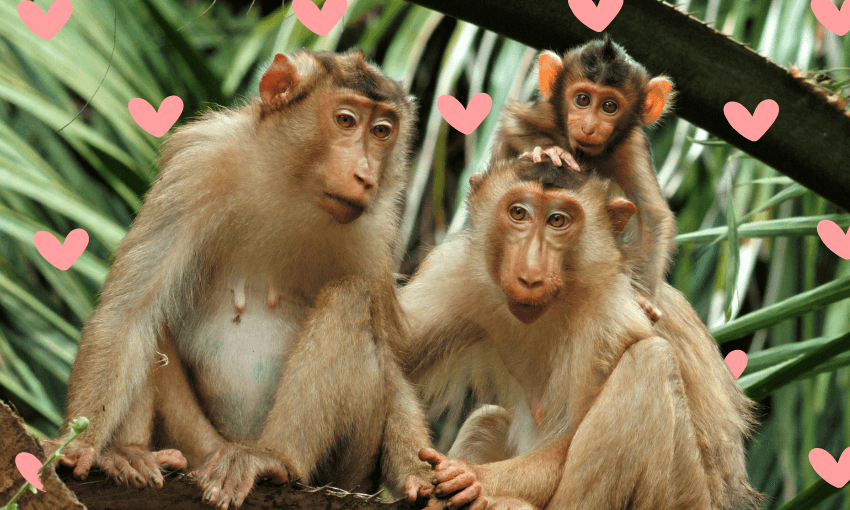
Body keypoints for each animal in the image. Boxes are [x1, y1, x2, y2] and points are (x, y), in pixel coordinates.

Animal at [45, 50, 435, 509]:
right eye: (345, 120)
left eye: (381, 131)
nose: (364, 174)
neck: (290, 183)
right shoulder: (197, 165)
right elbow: (129, 313)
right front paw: (80, 446)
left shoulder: (375, 231)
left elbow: (392, 365)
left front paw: (420, 475)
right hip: (199, 444)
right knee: (151, 324)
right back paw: (131, 455)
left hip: (344, 473)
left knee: (351, 296)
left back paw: (274, 458)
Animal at [397, 157, 759, 510]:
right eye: (518, 213)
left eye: (558, 220)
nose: (530, 274)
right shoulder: (452, 273)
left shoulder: (608, 313)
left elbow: (564, 445)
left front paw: (470, 477)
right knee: (486, 422)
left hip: (685, 495)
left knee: (650, 362)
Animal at [492, 36, 676, 322]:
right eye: (582, 99)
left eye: (609, 106)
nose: (589, 127)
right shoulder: (546, 112)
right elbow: (513, 123)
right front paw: (552, 151)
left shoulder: (632, 146)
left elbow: (652, 216)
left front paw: (644, 299)